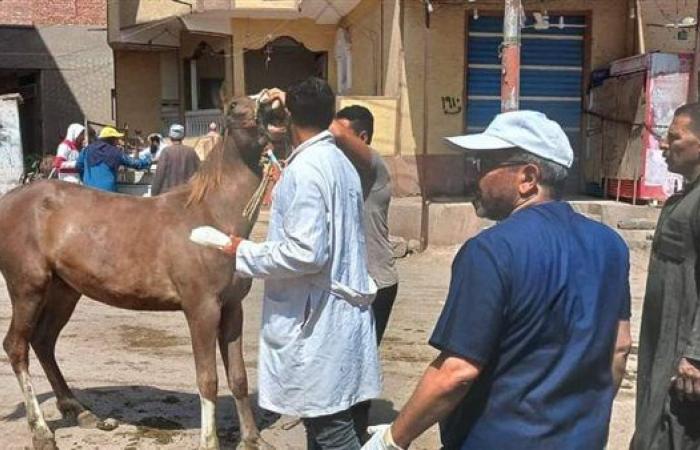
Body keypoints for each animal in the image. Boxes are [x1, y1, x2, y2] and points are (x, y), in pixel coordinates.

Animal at [0, 96, 282, 450]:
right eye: (234, 108)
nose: (273, 105)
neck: (209, 218)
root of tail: (8, 200)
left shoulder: (232, 308)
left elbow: (239, 377)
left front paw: (252, 439)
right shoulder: (201, 309)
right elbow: (208, 379)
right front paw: (210, 441)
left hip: (64, 291)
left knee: (43, 341)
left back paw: (81, 412)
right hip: (28, 288)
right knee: (17, 347)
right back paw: (41, 432)